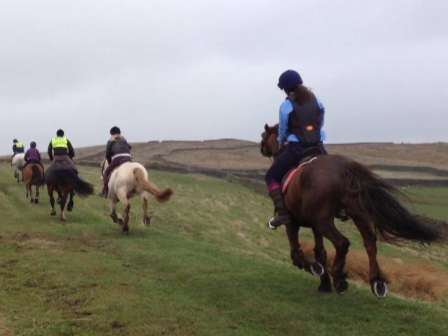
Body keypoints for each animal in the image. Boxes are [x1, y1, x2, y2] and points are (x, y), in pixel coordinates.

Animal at [260, 124, 444, 298]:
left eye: (264, 135)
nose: (261, 148)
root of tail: (344, 168)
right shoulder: (315, 226)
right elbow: (321, 252)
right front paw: (324, 284)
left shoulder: (293, 223)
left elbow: (296, 253)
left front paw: (312, 268)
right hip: (356, 215)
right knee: (370, 243)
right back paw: (376, 281)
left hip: (325, 221)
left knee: (342, 243)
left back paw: (339, 276)